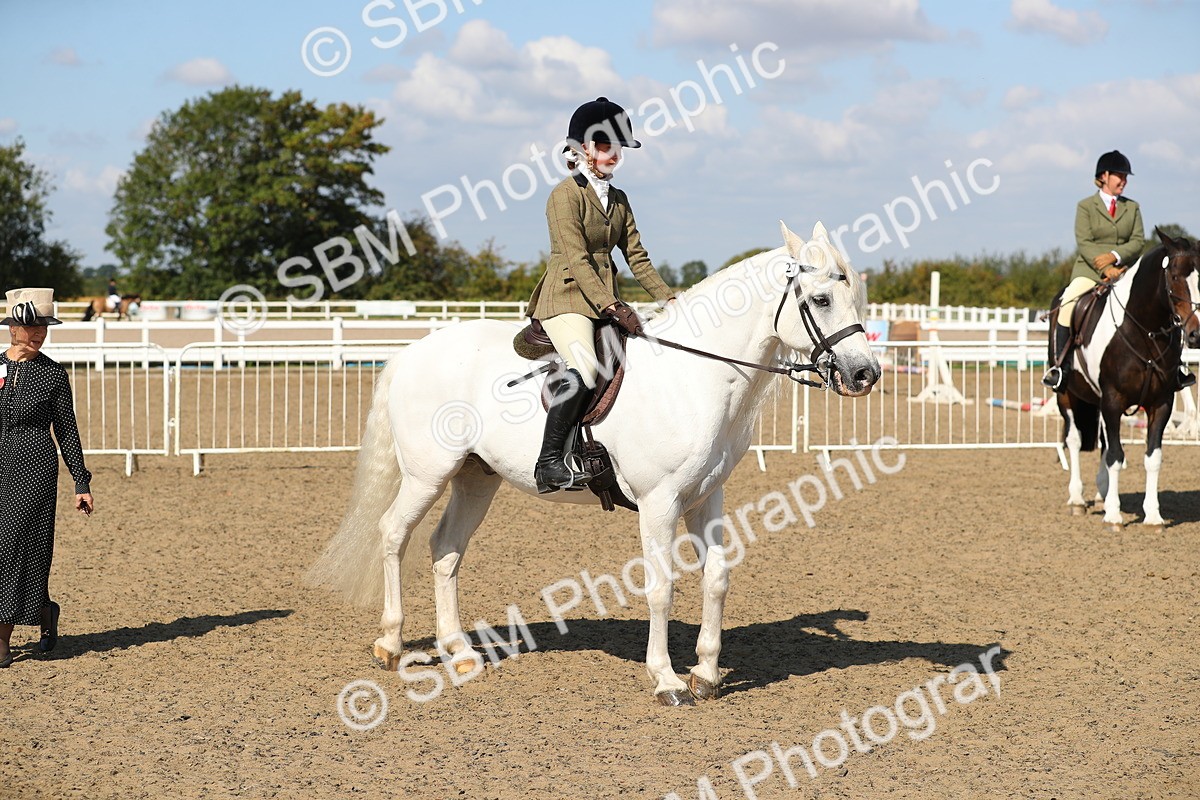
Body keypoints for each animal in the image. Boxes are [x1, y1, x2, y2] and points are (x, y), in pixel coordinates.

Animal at [307, 221, 881, 705]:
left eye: (855, 295)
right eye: (821, 299)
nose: (865, 375)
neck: (693, 377)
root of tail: (412, 352)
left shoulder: (705, 497)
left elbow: (717, 578)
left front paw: (707, 674)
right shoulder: (659, 502)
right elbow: (661, 587)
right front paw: (667, 680)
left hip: (476, 478)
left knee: (446, 550)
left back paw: (461, 652)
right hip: (428, 474)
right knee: (392, 534)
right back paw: (390, 644)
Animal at [1052, 229, 1200, 532]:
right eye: (1175, 277)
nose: (1195, 334)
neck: (1144, 332)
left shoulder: (1161, 403)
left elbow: (1152, 458)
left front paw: (1153, 516)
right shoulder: (1113, 400)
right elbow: (1116, 456)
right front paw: (1114, 516)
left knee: (1102, 441)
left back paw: (1101, 493)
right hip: (1066, 396)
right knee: (1074, 440)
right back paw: (1077, 499)